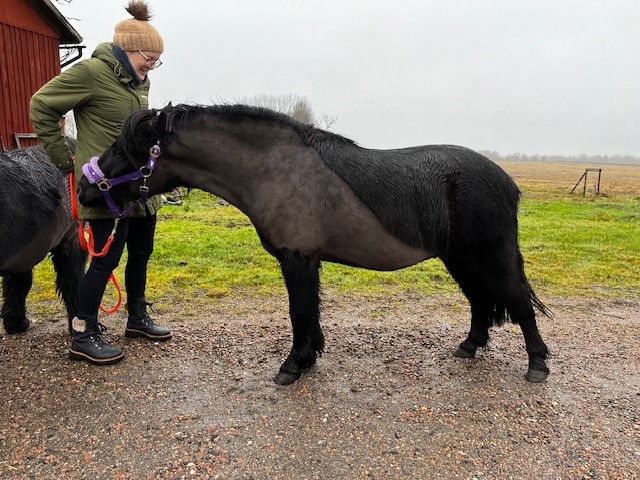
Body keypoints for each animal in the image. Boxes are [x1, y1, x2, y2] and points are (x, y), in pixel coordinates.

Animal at [78, 104, 551, 385]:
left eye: (128, 149)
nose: (83, 187)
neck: (275, 168)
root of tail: (506, 181)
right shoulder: (305, 261)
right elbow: (308, 313)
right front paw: (308, 358)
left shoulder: (298, 258)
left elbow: (300, 312)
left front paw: (293, 366)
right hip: (461, 260)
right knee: (480, 302)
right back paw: (470, 347)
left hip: (488, 257)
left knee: (517, 303)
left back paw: (537, 365)